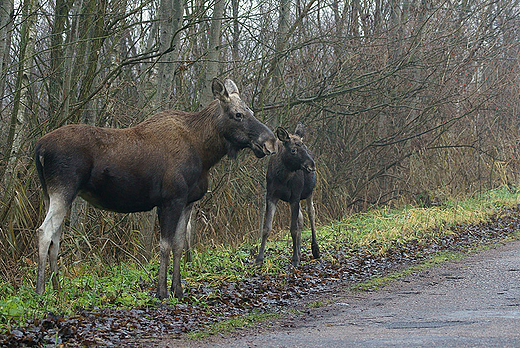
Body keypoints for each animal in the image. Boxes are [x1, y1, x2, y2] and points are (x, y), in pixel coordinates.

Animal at [34, 78, 278, 300]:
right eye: (238, 114)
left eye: (251, 111)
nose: (271, 142)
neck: (205, 153)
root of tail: (39, 147)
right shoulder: (170, 200)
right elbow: (165, 246)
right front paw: (161, 292)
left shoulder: (187, 202)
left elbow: (179, 245)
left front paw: (178, 290)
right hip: (63, 189)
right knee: (44, 232)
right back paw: (40, 291)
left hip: (52, 194)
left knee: (56, 238)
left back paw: (57, 289)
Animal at [255, 123, 318, 268]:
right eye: (293, 150)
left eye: (304, 147)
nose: (312, 166)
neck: (282, 177)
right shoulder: (272, 196)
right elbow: (266, 228)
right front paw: (259, 258)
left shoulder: (295, 196)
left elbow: (293, 229)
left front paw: (294, 259)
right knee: (301, 218)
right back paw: (299, 252)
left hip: (308, 193)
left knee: (311, 213)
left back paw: (315, 250)